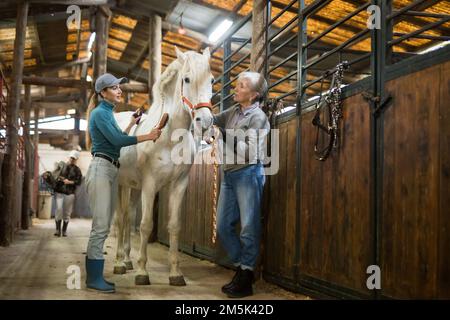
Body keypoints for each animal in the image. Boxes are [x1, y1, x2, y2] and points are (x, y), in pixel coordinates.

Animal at [112, 47, 214, 284]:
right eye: (186, 79)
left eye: (212, 80)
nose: (205, 122)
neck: (169, 137)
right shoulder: (150, 185)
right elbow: (146, 224)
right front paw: (142, 272)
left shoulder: (179, 184)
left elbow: (174, 226)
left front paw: (175, 273)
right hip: (121, 185)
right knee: (120, 219)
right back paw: (119, 263)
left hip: (133, 187)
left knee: (128, 217)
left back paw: (127, 261)